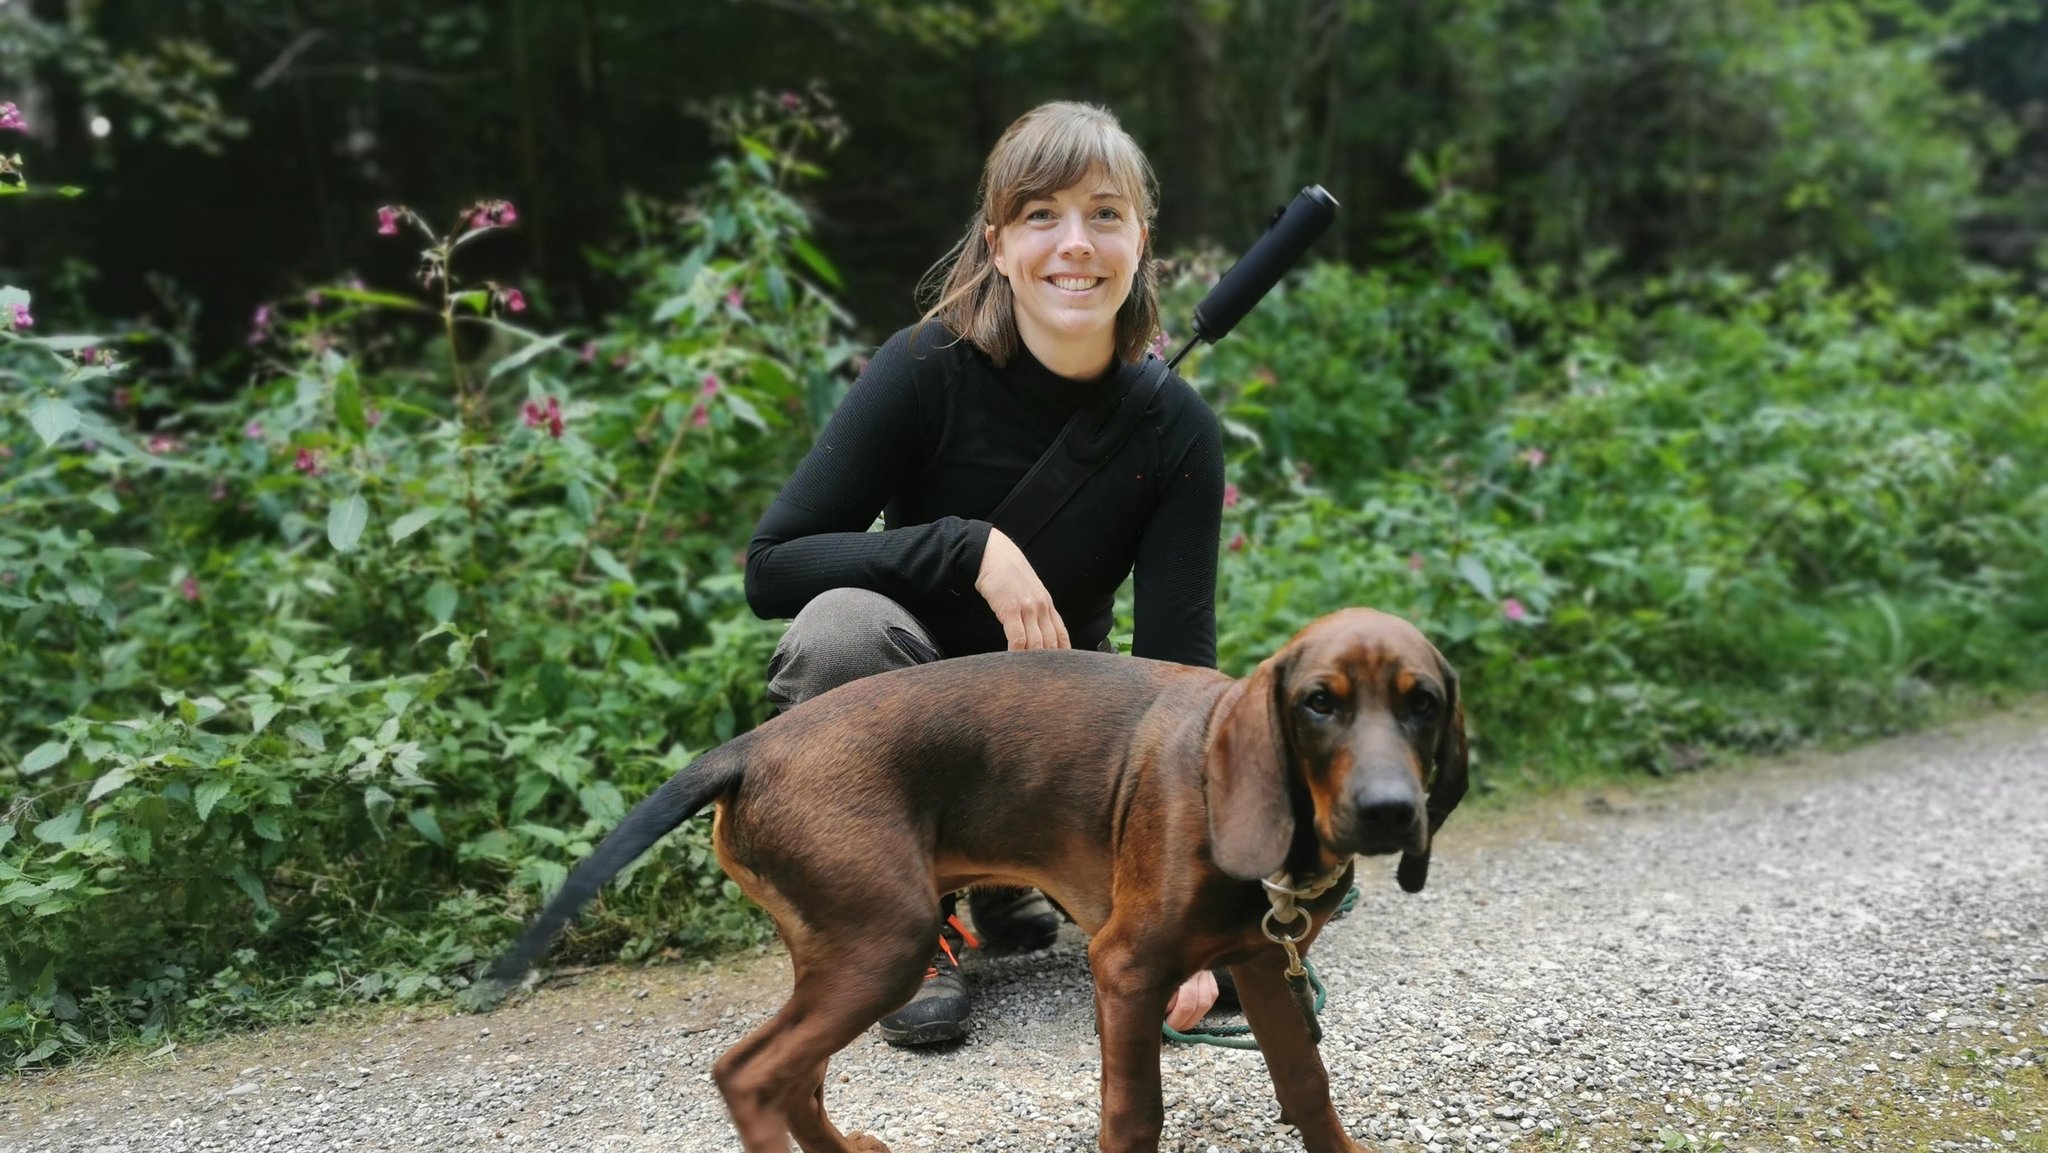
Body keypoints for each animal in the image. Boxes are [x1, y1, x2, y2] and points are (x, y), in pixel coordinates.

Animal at [487, 610, 1466, 1146]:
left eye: (1423, 703)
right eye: (1319, 703)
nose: (1388, 811)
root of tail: (750, 747)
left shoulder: (1263, 963)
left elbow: (1305, 1085)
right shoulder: (1126, 967)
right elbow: (1134, 1111)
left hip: (840, 947)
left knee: (795, 1076)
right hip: (885, 943)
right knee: (751, 1074)